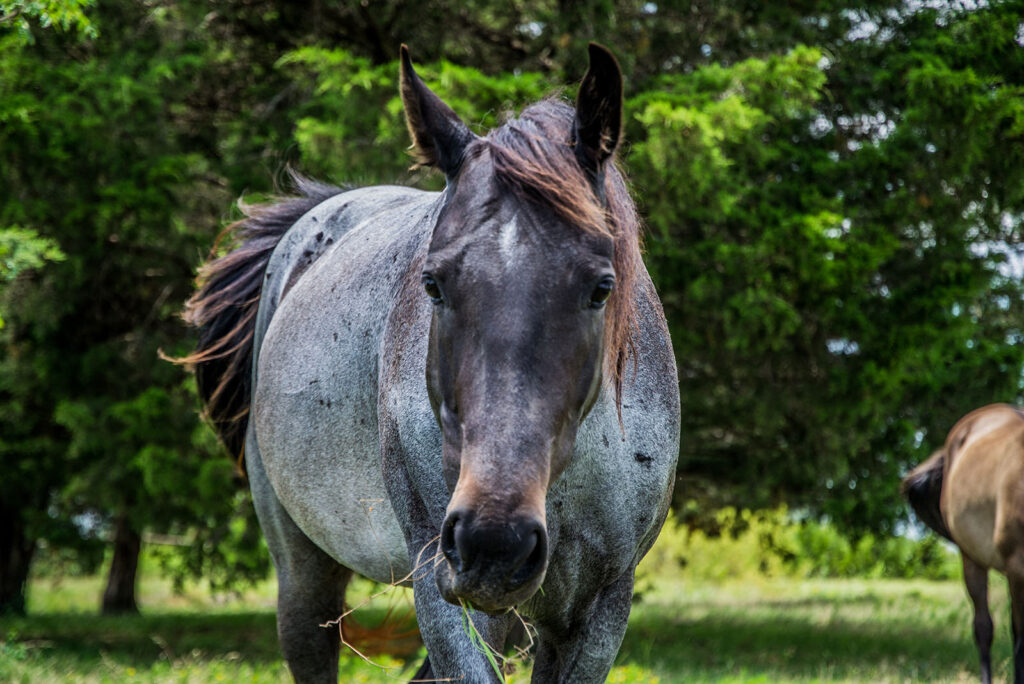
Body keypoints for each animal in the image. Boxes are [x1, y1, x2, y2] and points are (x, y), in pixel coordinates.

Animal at [180, 44, 684, 684]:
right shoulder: (442, 587)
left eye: (601, 288)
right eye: (433, 284)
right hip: (306, 571)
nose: (495, 542)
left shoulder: (598, 609)